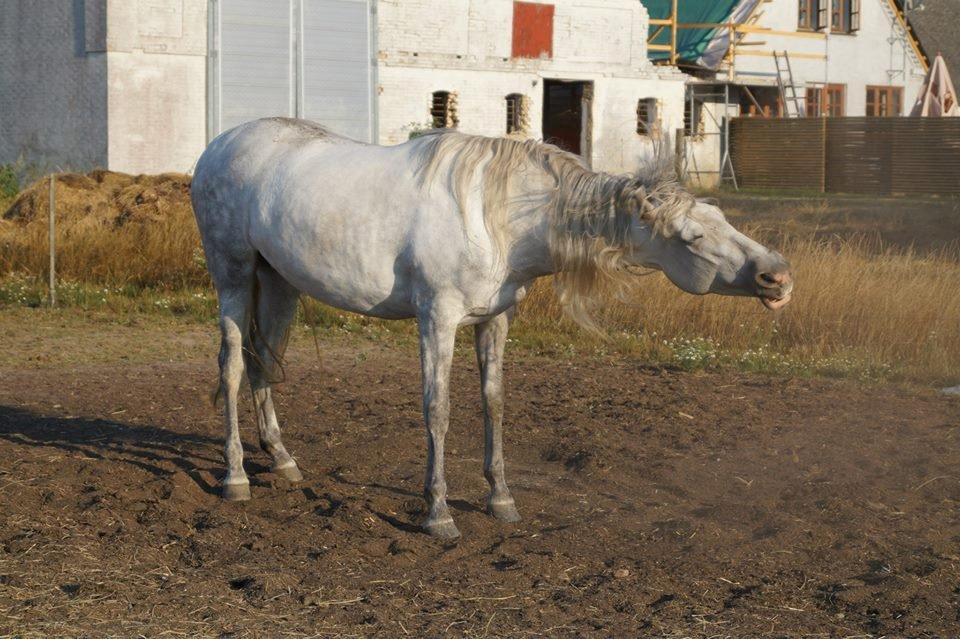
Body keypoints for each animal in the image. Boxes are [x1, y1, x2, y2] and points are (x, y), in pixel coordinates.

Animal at [191, 116, 792, 540]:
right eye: (692, 237)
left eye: (722, 219)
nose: (778, 277)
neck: (498, 216)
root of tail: (218, 146)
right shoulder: (438, 318)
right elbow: (438, 410)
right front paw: (438, 513)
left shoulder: (495, 320)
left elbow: (493, 402)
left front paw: (501, 500)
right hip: (234, 276)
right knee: (234, 365)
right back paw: (236, 477)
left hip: (279, 283)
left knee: (265, 365)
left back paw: (284, 462)